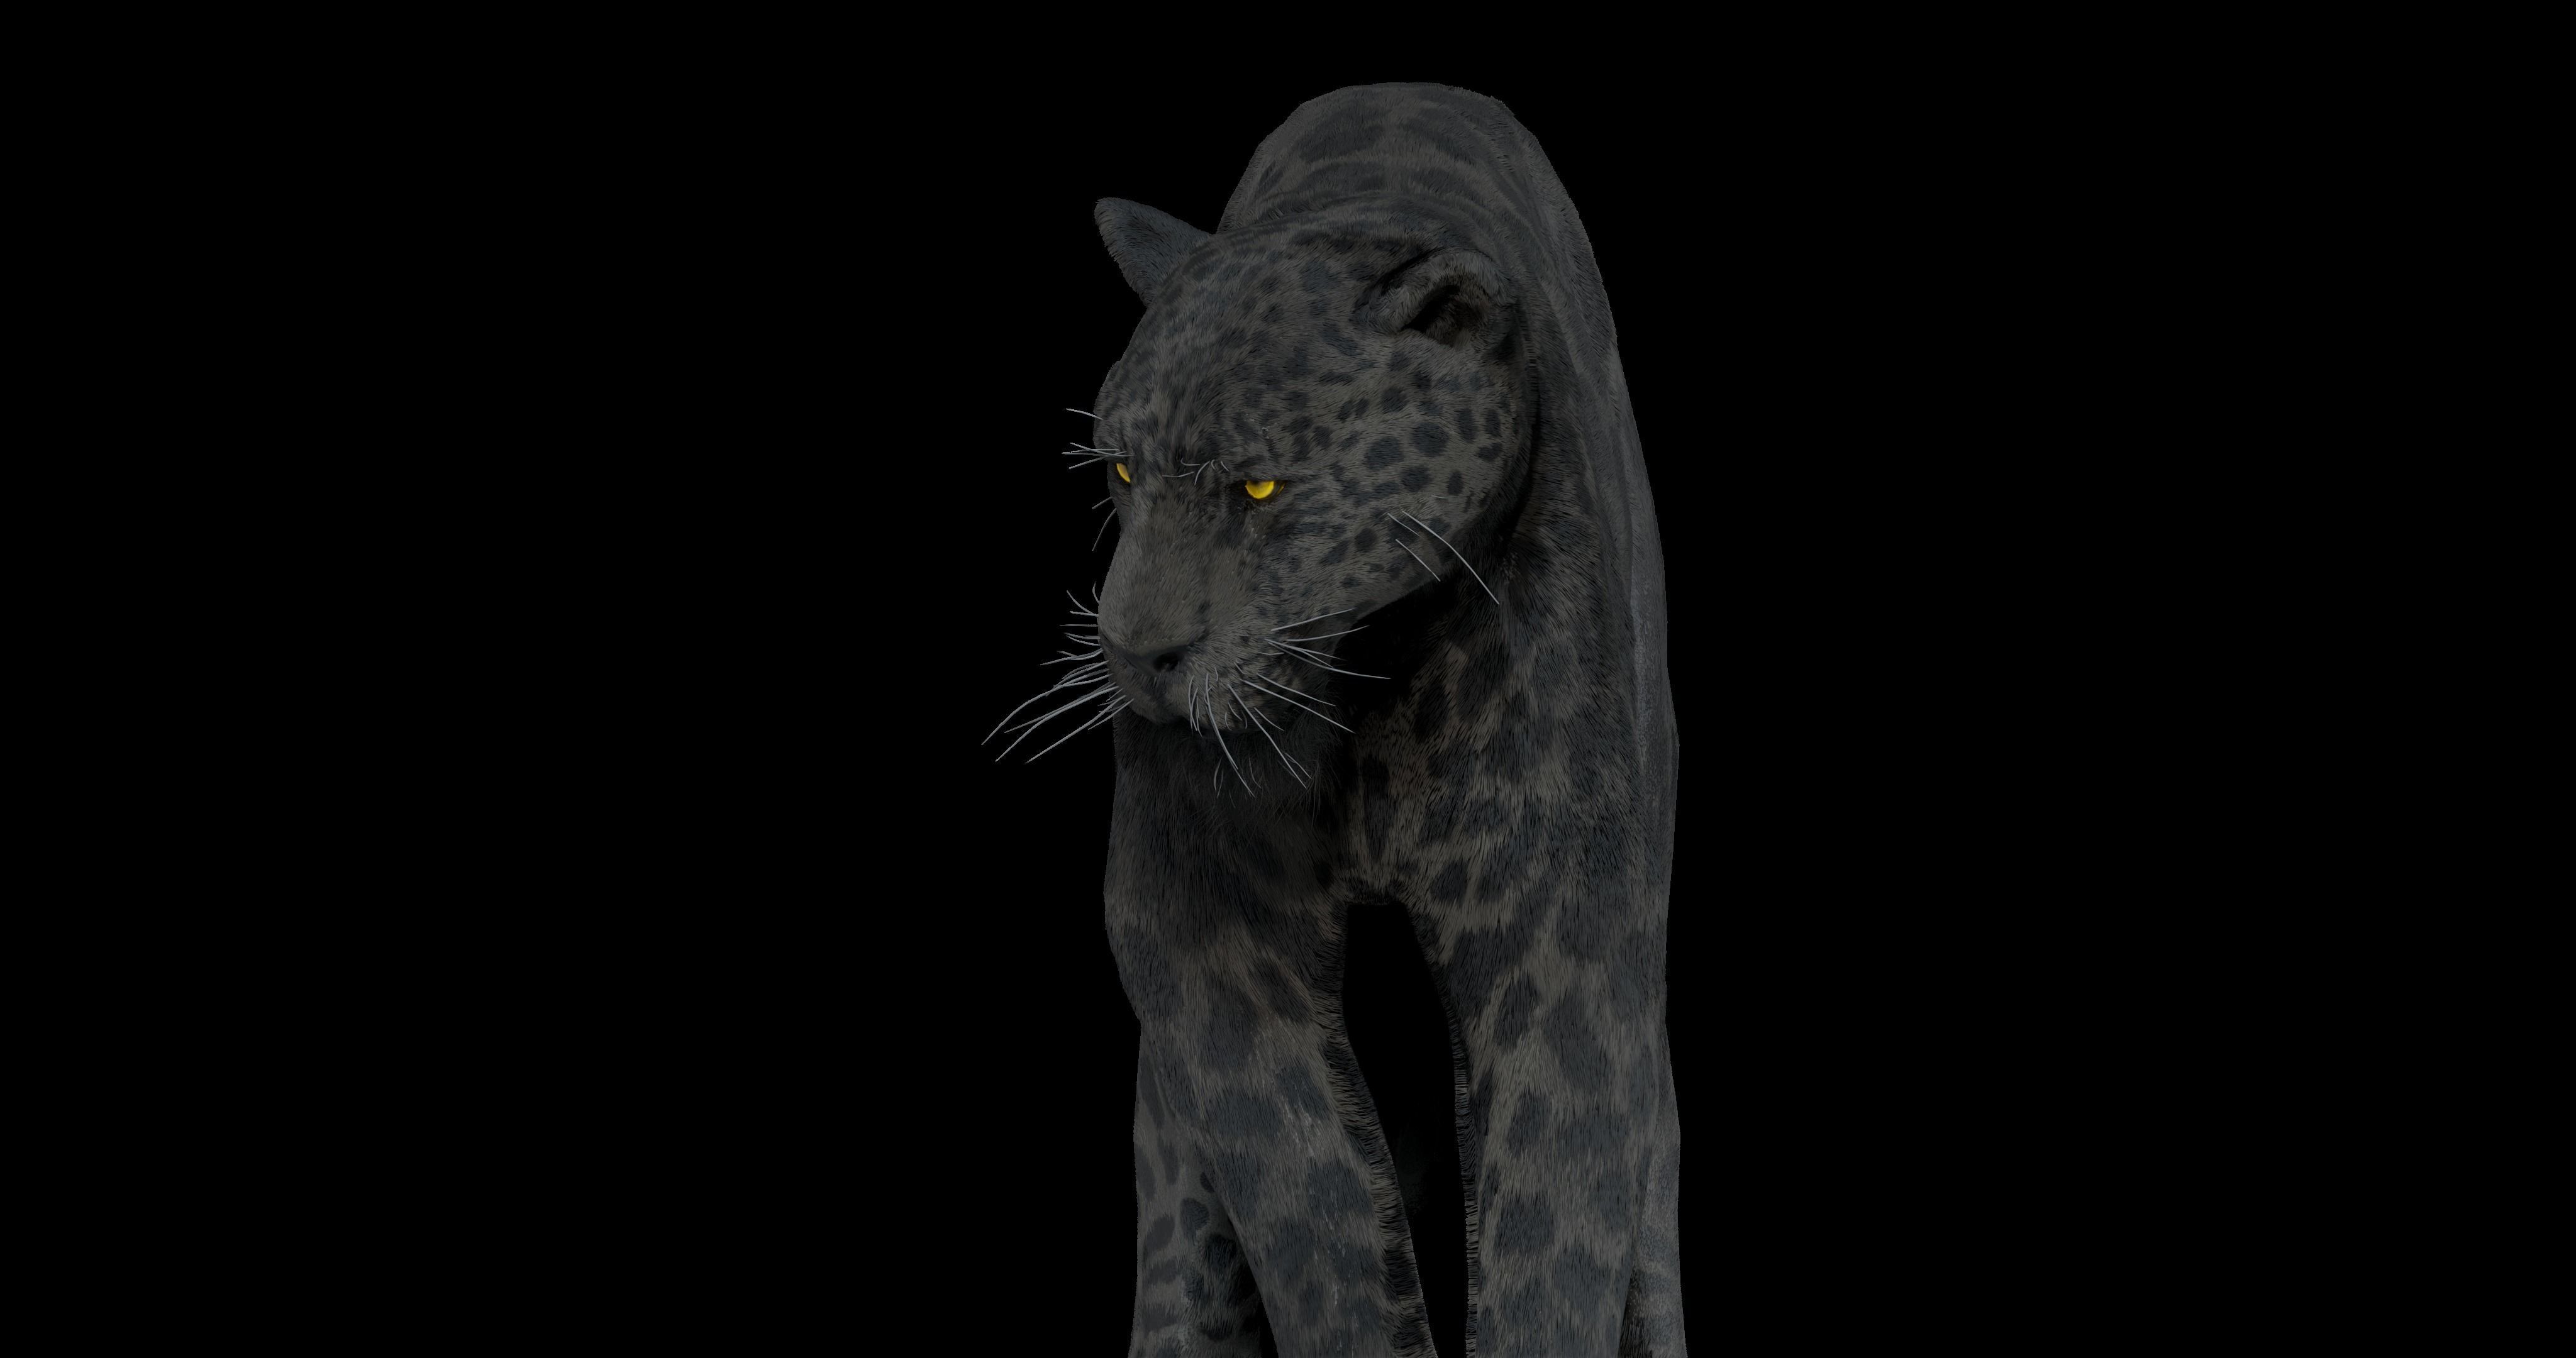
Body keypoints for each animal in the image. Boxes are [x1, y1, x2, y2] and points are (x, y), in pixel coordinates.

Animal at [1001, 82, 1680, 1357]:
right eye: (1121, 472)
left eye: (1261, 487)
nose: (1135, 655)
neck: (1368, 680)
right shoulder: (1210, 937)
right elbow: (1317, 1211)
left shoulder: (1556, 941)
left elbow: (1553, 1221)